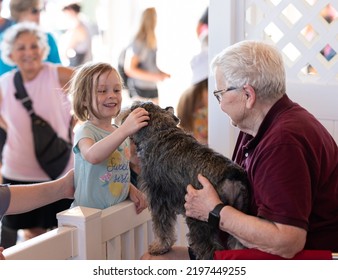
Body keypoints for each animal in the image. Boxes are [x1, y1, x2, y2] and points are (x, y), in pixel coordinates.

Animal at [131, 101, 250, 260]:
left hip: (199, 220)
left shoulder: (159, 199)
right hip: (239, 217)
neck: (160, 131)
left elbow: (162, 227)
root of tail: (231, 174)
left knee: (209, 250)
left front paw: (160, 246)